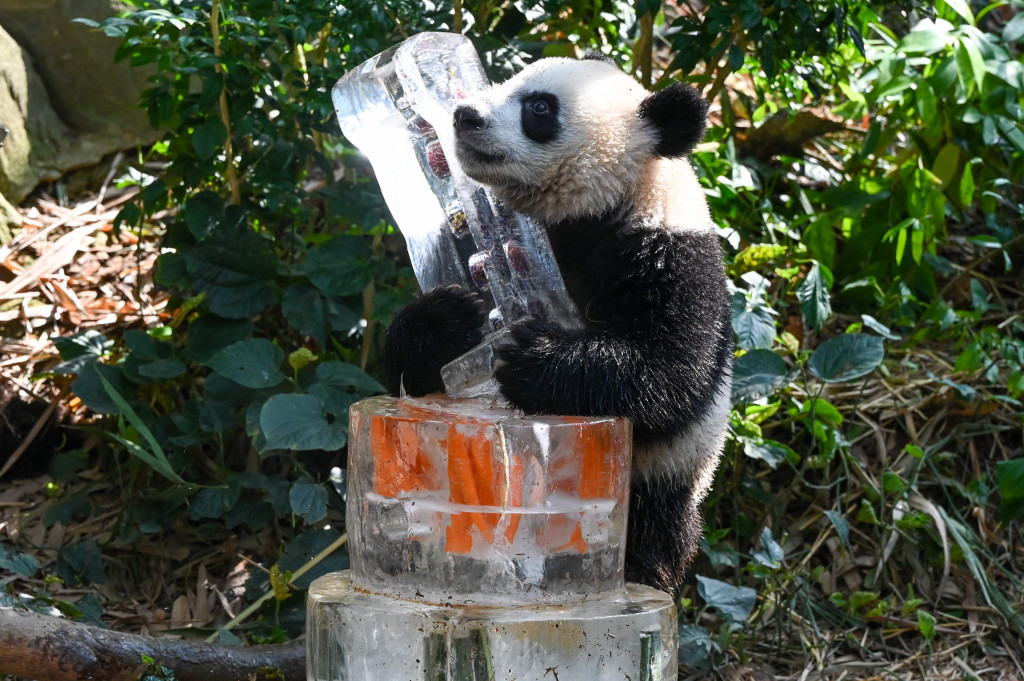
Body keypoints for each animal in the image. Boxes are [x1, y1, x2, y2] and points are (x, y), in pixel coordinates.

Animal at [382, 52, 733, 596]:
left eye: (539, 108)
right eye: (505, 81)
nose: (465, 115)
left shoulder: (668, 256)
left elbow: (669, 371)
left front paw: (533, 359)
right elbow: (412, 374)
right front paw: (449, 321)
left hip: (662, 478)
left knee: (648, 534)